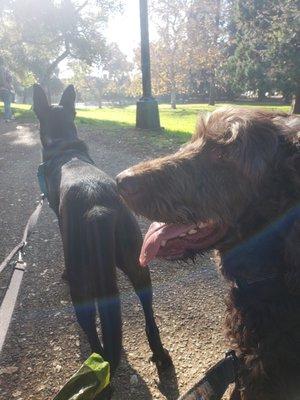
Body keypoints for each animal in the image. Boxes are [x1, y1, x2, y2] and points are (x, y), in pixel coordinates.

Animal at [32, 84, 171, 378]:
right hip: (137, 263)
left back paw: (97, 366)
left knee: (91, 329)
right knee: (148, 312)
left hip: (81, 281)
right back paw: (160, 355)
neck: (64, 147)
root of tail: (96, 204)